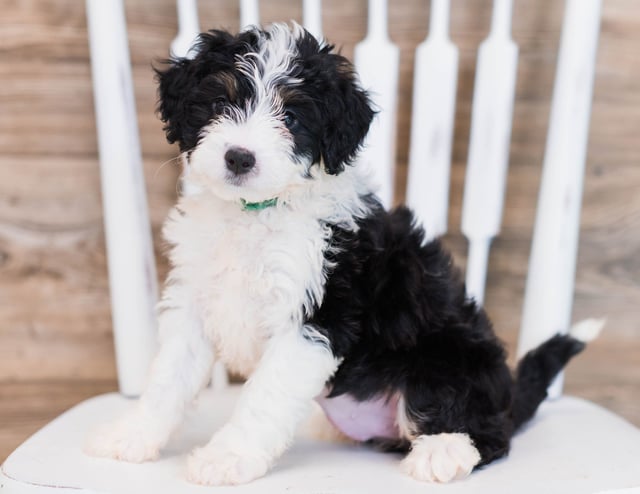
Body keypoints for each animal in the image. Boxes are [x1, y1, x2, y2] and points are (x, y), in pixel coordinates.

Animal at [86, 24, 596, 486]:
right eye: (219, 103)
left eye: (291, 119)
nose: (239, 157)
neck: (255, 214)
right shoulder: (195, 300)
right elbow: (168, 378)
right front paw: (131, 437)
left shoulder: (317, 315)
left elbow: (263, 396)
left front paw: (226, 458)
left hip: (448, 359)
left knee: (488, 434)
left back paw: (444, 450)